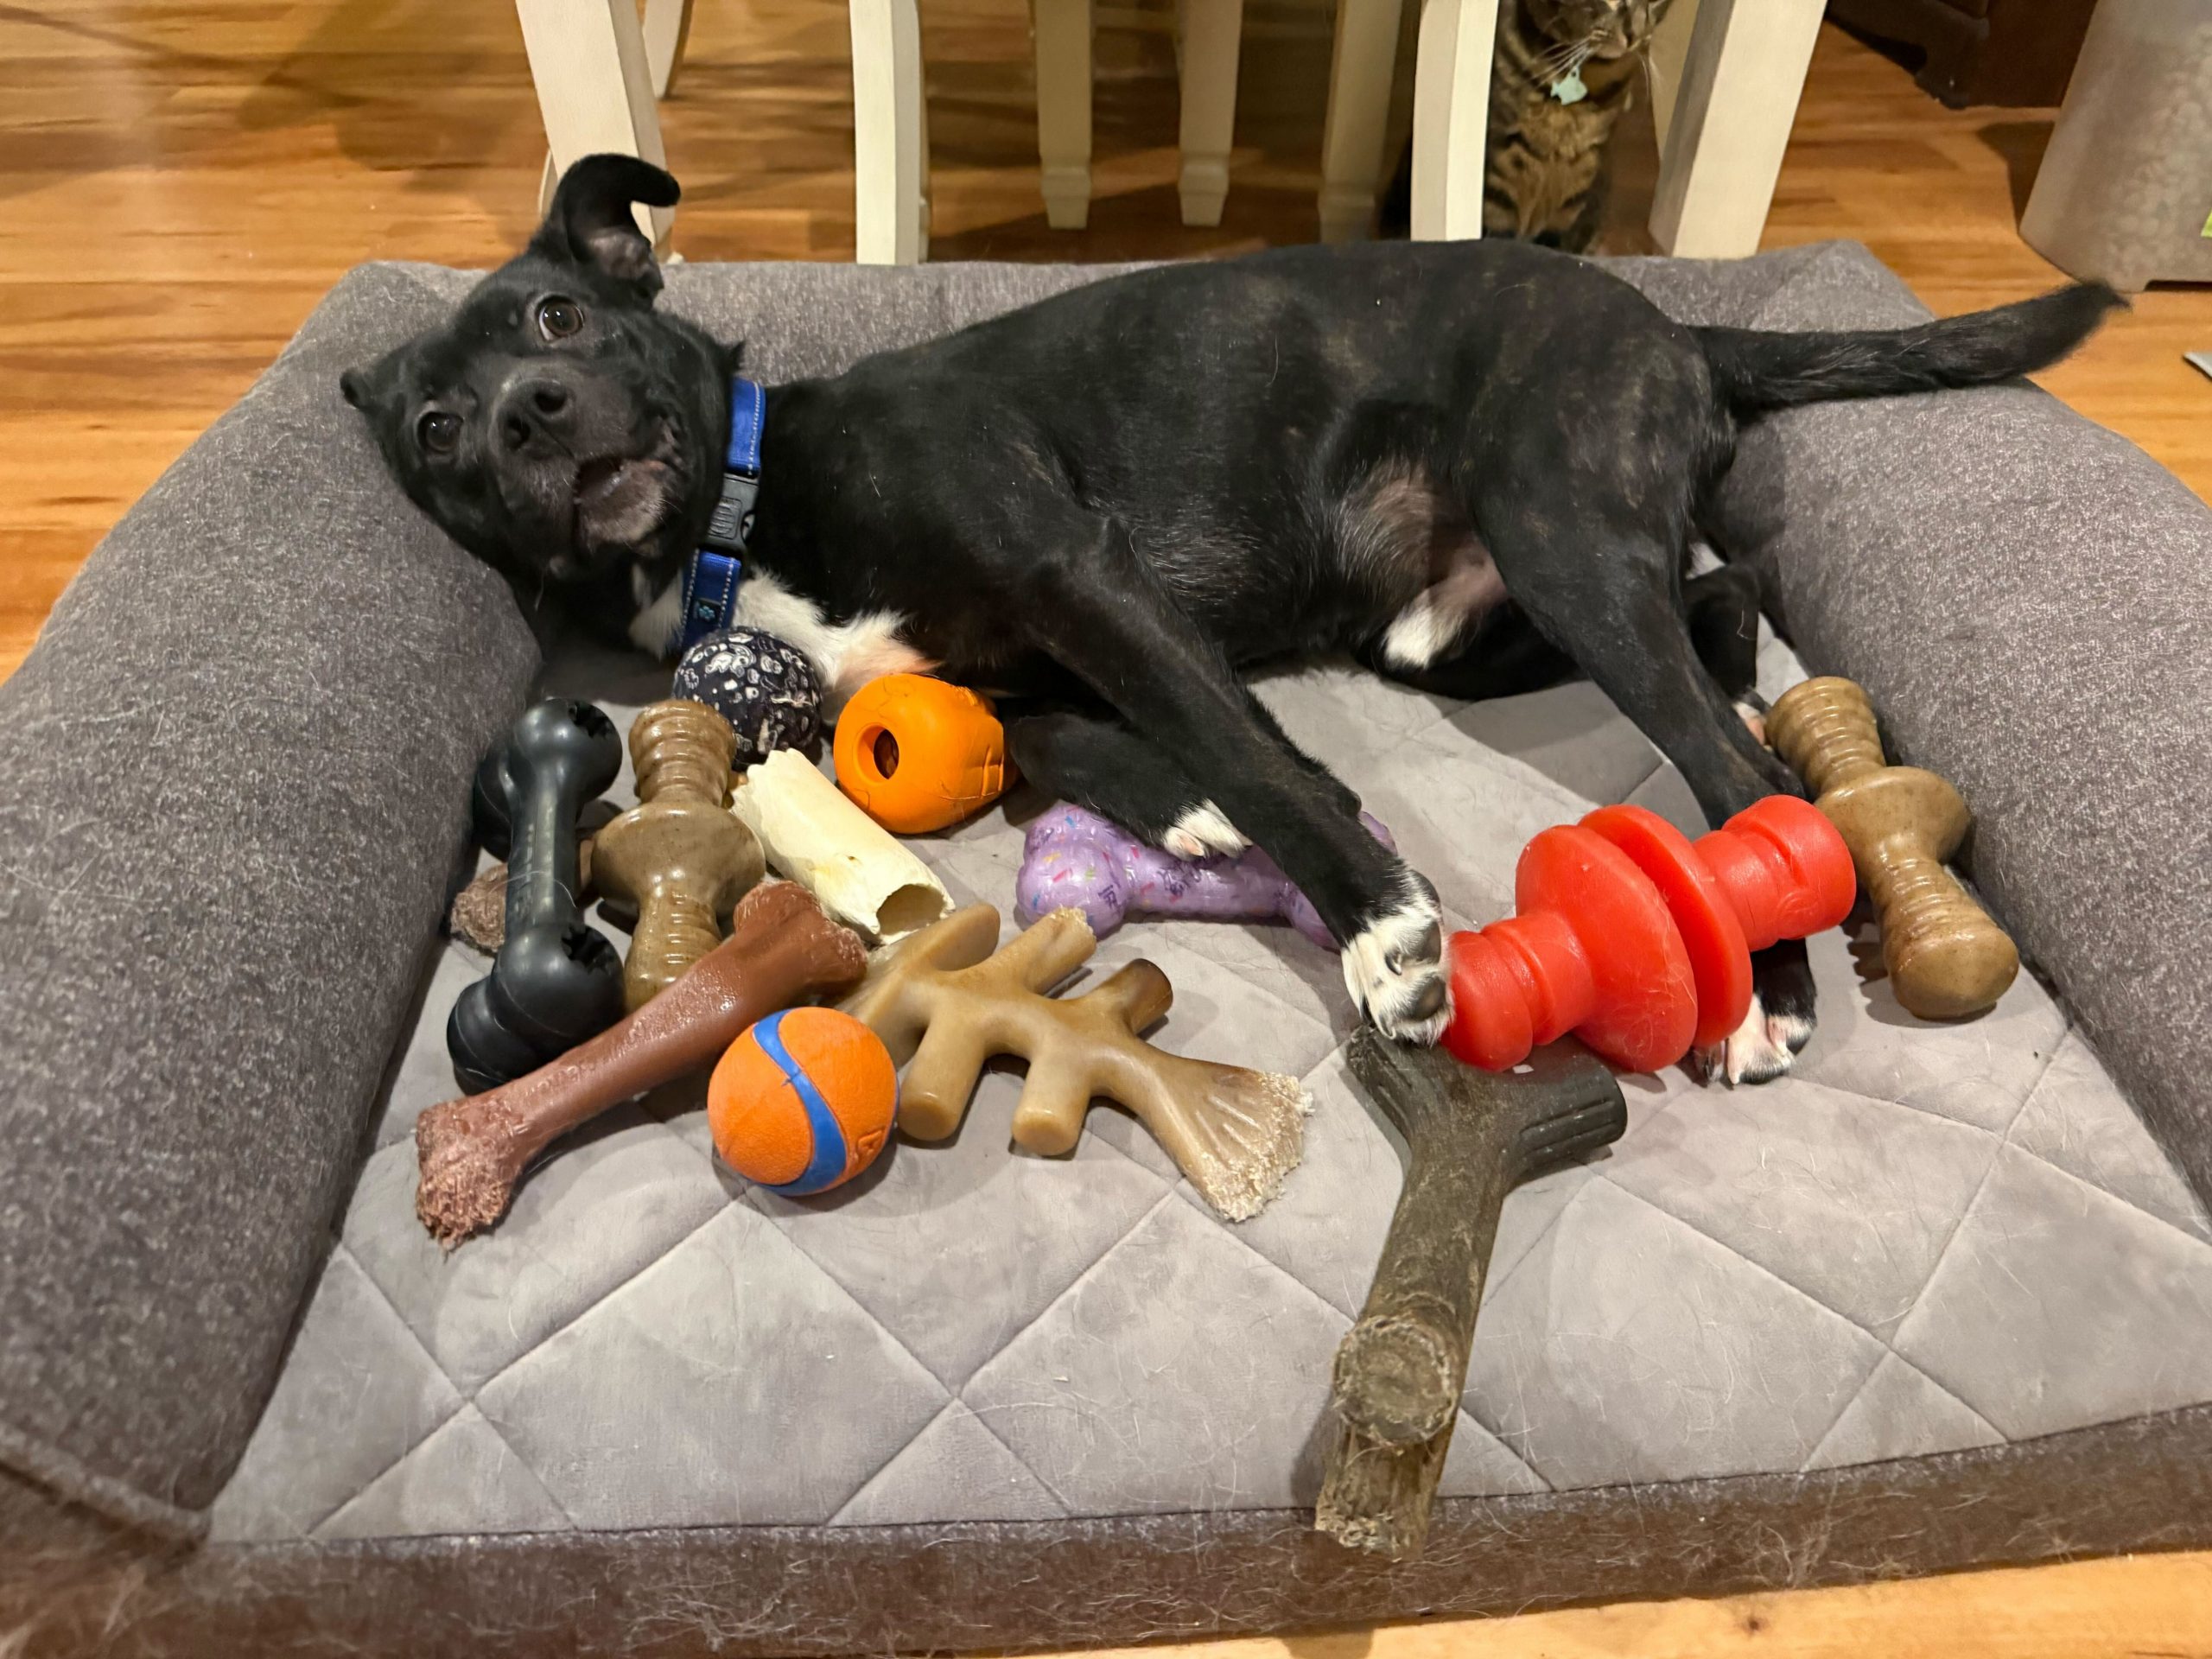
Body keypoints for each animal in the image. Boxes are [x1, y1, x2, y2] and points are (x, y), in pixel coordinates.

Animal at [342, 155, 2114, 1078]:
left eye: (558, 317)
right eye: (434, 429)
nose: (527, 418)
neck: (741, 500)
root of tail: (1679, 323)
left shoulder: (1078, 571)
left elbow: (1258, 756)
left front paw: (1387, 940)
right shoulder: (1021, 662)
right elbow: (1070, 740)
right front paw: (1183, 816)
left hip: (1559, 538)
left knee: (1736, 768)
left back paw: (1768, 991)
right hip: (1458, 631)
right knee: (1726, 604)